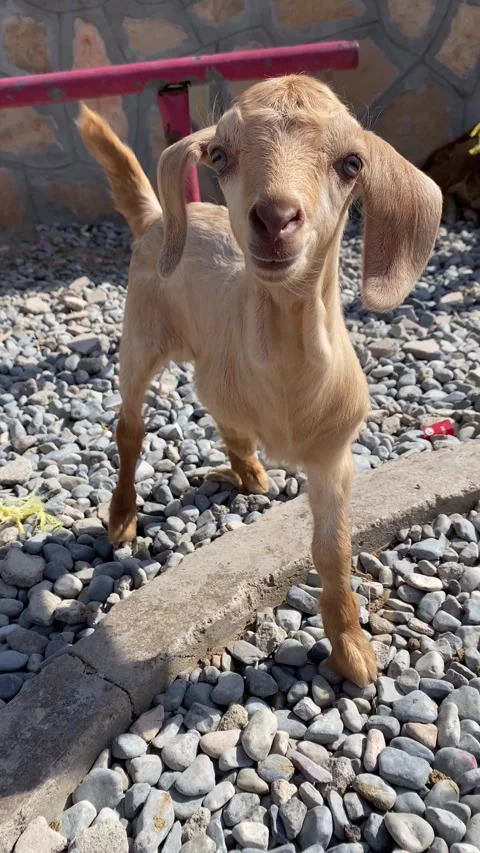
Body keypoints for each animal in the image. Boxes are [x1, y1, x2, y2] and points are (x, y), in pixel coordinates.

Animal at [77, 75, 442, 687]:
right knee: (129, 427)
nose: (274, 218)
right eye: (220, 156)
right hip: (140, 340)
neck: (286, 371)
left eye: (351, 163)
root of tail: (157, 217)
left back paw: (248, 470)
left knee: (217, 409)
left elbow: (333, 551)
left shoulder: (334, 457)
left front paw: (351, 649)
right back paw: (123, 515)